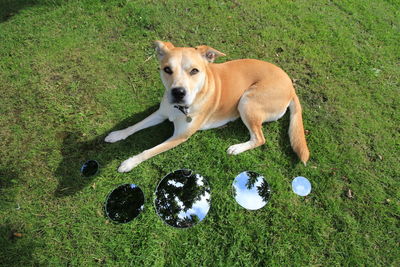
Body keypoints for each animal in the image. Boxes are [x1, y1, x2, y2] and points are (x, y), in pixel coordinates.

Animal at [104, 40, 310, 173]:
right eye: (167, 69)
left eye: (194, 70)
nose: (178, 92)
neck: (182, 108)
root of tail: (291, 87)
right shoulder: (162, 113)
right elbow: (136, 125)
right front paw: (118, 134)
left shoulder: (179, 137)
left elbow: (149, 151)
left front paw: (129, 162)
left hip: (247, 101)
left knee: (259, 138)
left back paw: (237, 148)